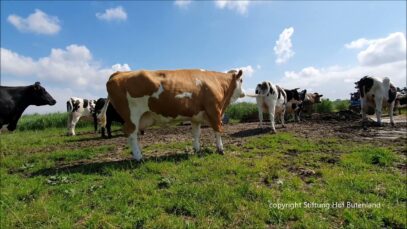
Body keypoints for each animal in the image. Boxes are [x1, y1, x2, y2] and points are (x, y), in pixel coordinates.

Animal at [99, 69, 245, 160]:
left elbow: (196, 134)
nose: (244, 93)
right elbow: (218, 130)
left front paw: (197, 150)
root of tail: (118, 73)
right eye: (242, 80)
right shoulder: (214, 110)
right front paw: (221, 149)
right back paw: (138, 157)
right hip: (132, 115)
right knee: (131, 134)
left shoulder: (196, 117)